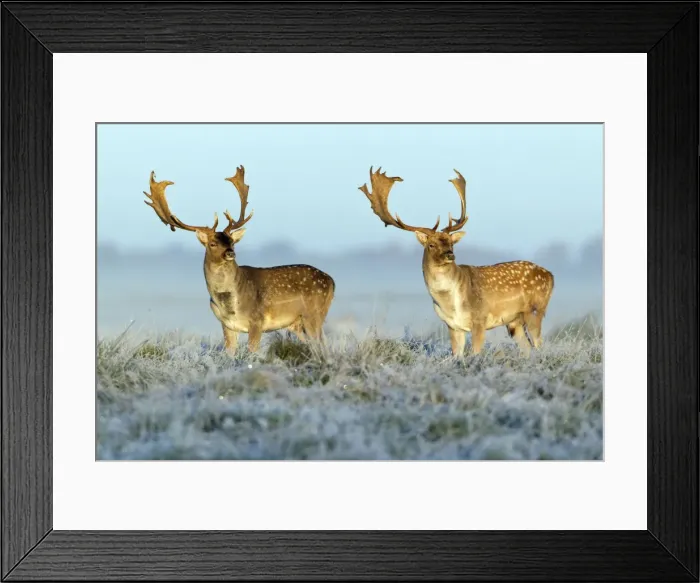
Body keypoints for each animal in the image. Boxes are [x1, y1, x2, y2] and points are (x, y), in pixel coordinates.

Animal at [144, 166, 336, 356]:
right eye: (213, 243)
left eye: (232, 241)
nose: (230, 253)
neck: (230, 305)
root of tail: (331, 281)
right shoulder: (226, 325)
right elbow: (230, 353)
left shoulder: (257, 320)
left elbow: (251, 352)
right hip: (298, 324)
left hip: (314, 314)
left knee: (323, 345)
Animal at [358, 167, 554, 357]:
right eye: (431, 244)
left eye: (451, 243)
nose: (450, 255)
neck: (450, 302)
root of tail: (551, 275)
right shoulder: (452, 326)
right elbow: (457, 356)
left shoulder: (480, 319)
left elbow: (475, 354)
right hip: (514, 321)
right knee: (526, 348)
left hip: (536, 309)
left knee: (538, 345)